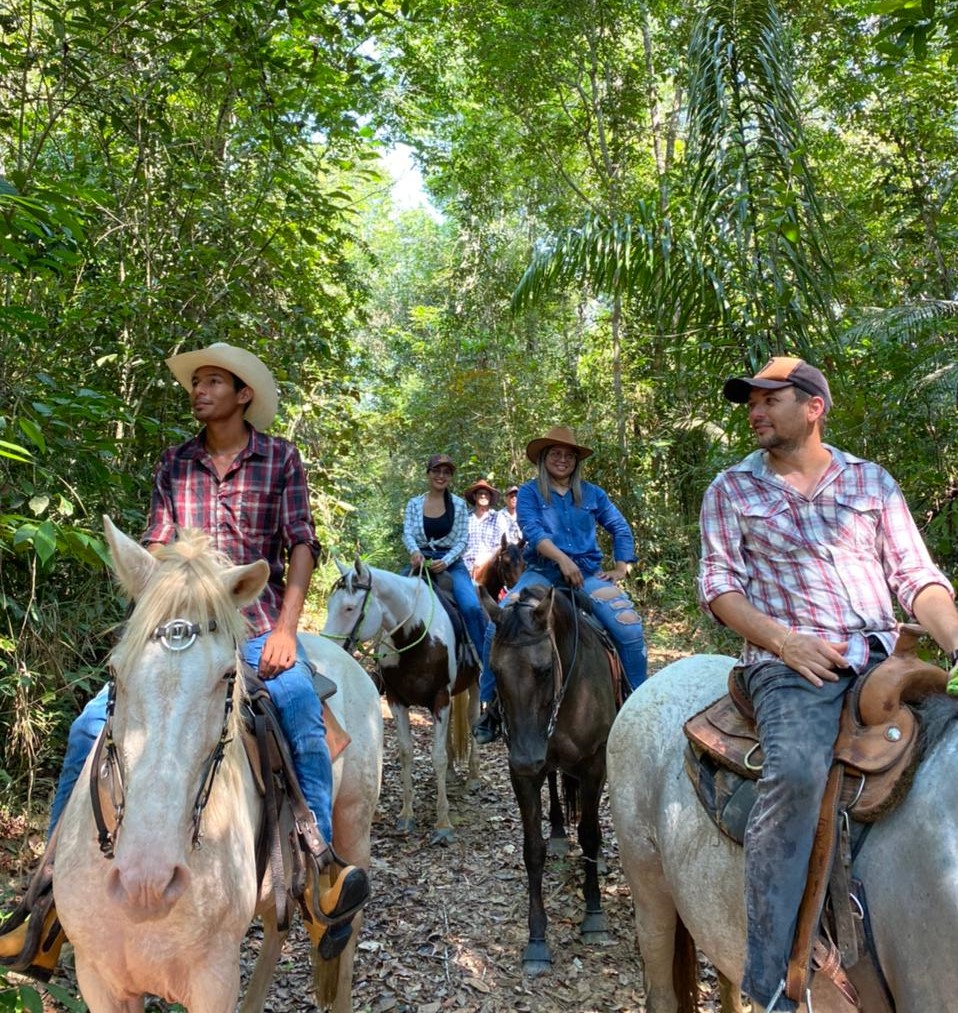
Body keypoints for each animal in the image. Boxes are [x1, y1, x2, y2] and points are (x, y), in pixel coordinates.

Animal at [52, 522, 380, 1013]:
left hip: (354, 826)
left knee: (346, 929)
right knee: (278, 929)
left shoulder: (214, 981)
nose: (147, 882)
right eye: (114, 670)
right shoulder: (98, 981)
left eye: (228, 676)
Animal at [324, 563, 482, 846]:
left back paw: (473, 778)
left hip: (474, 682)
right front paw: (407, 814)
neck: (417, 634)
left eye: (350, 608)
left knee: (473, 720)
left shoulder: (440, 698)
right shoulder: (396, 700)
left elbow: (437, 756)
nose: (329, 647)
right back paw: (452, 774)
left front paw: (443, 824)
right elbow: (406, 752)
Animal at [482, 587, 615, 972]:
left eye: (542, 670)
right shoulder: (521, 774)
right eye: (494, 670)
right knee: (555, 783)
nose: (527, 758)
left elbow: (589, 834)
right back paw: (557, 831)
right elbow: (533, 850)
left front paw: (594, 915)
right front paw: (537, 939)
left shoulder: (594, 763)